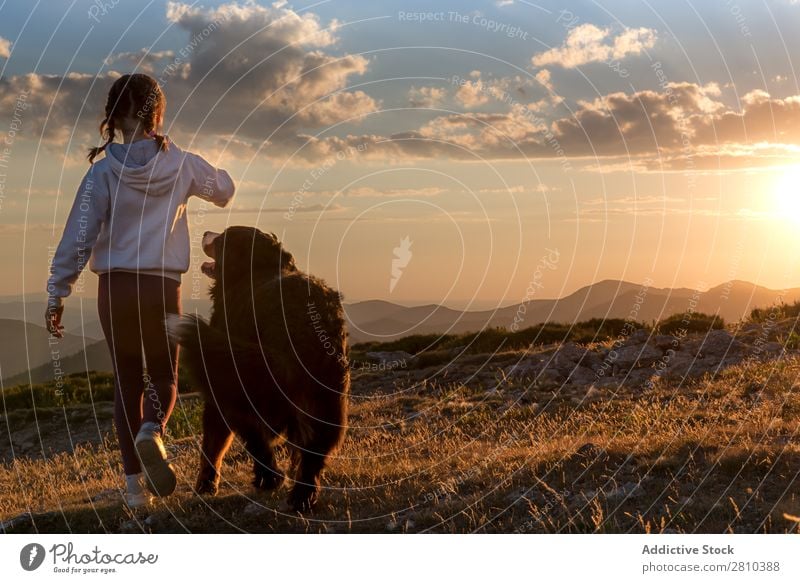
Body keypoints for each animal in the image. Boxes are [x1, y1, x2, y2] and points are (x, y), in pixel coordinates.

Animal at [169, 227, 350, 512]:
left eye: (222, 237)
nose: (207, 231)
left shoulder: (222, 383)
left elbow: (214, 443)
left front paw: (206, 486)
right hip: (328, 397)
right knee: (315, 449)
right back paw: (302, 497)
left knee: (254, 436)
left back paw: (272, 480)